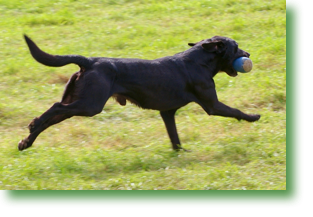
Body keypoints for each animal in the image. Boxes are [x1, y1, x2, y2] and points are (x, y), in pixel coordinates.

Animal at [18, 35, 260, 151]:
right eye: (236, 46)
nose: (248, 54)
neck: (199, 60)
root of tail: (89, 61)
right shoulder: (212, 105)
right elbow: (236, 111)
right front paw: (254, 116)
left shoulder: (167, 112)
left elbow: (174, 136)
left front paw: (180, 153)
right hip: (89, 105)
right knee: (54, 108)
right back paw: (32, 126)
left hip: (78, 102)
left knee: (51, 116)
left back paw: (26, 141)